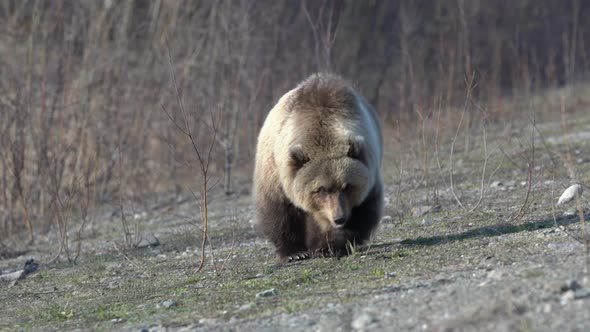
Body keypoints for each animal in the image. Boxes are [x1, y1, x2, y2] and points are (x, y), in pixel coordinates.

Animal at [253, 72, 384, 262]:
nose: (339, 218)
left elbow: (362, 210)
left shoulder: (368, 173)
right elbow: (280, 211)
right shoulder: (276, 173)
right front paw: (295, 252)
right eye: (321, 189)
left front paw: (329, 246)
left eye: (347, 186)